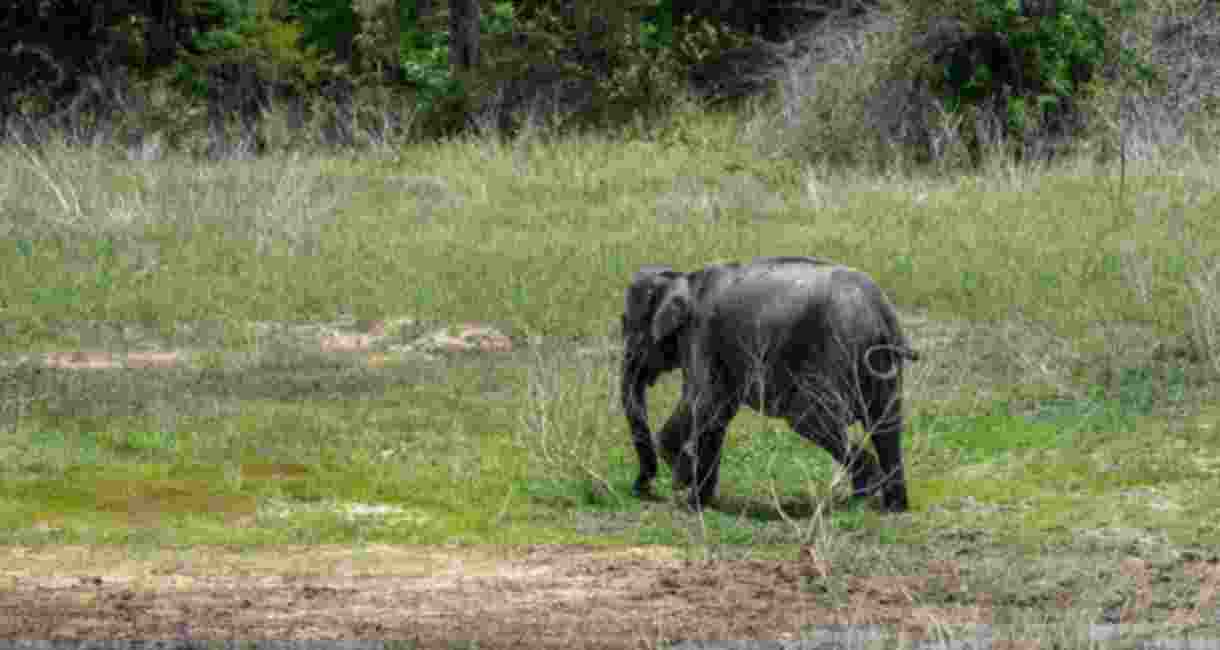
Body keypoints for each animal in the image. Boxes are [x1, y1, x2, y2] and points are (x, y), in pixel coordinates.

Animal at [620, 256, 920, 512]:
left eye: (626, 325)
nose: (640, 490)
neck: (682, 279)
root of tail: (882, 310)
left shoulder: (701, 332)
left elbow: (703, 403)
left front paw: (685, 487)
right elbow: (719, 412)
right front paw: (697, 498)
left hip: (836, 351)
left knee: (808, 418)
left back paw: (858, 499)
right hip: (880, 360)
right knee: (886, 426)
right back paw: (892, 506)